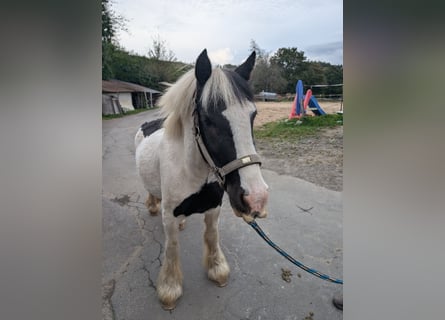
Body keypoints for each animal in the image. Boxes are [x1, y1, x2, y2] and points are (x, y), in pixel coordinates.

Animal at [134, 50, 268, 310]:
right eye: (208, 119)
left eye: (253, 115)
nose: (256, 199)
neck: (192, 173)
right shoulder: (169, 216)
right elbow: (172, 248)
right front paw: (170, 288)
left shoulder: (214, 208)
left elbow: (212, 237)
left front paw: (217, 271)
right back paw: (153, 206)